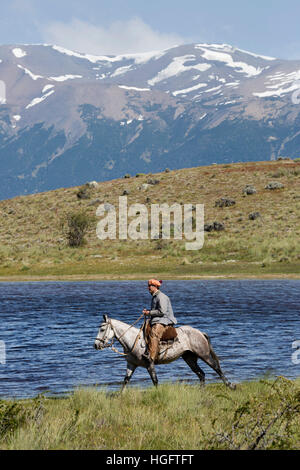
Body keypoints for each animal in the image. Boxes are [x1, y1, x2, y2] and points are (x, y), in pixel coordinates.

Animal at [95, 316, 236, 392]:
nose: (96, 345)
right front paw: (120, 396)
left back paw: (230, 385)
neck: (134, 340)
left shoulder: (149, 364)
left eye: (102, 329)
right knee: (201, 374)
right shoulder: (131, 364)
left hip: (204, 355)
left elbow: (155, 380)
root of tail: (200, 332)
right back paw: (202, 392)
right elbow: (125, 380)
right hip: (189, 358)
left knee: (216, 368)